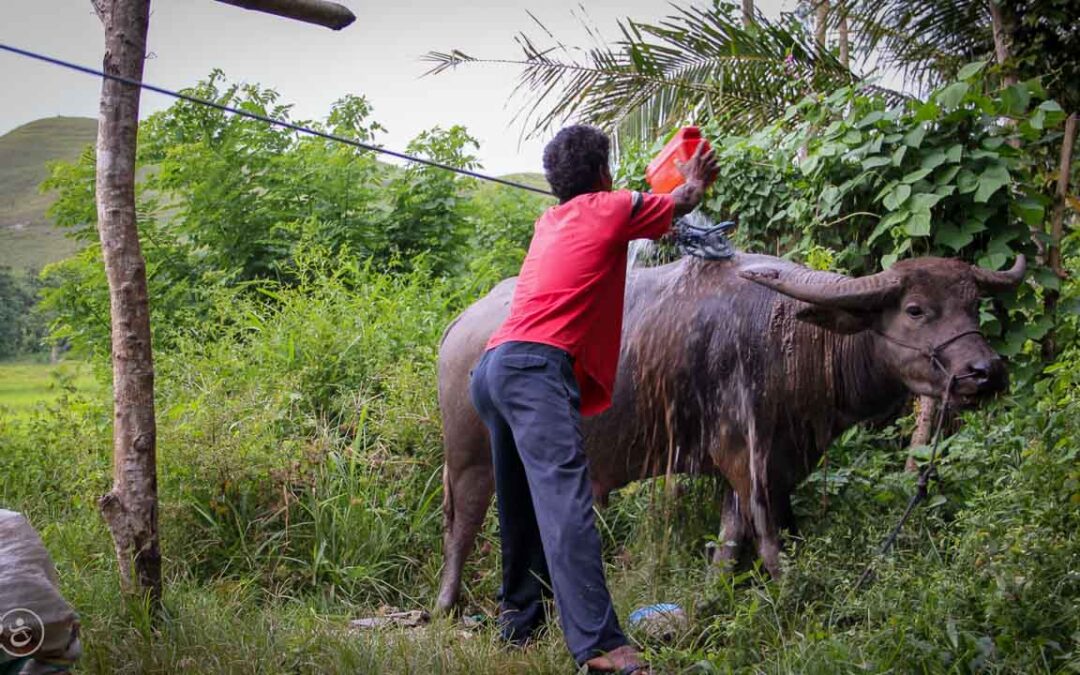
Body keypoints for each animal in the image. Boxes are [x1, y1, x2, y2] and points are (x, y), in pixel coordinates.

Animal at [429, 251, 1019, 609]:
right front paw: (792, 599)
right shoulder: (746, 457)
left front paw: (711, 598)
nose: (985, 371)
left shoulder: (760, 460)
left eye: (974, 304)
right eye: (916, 309)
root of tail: (460, 325)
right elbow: (768, 540)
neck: (795, 338)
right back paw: (446, 604)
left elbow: (731, 540)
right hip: (469, 457)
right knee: (462, 526)